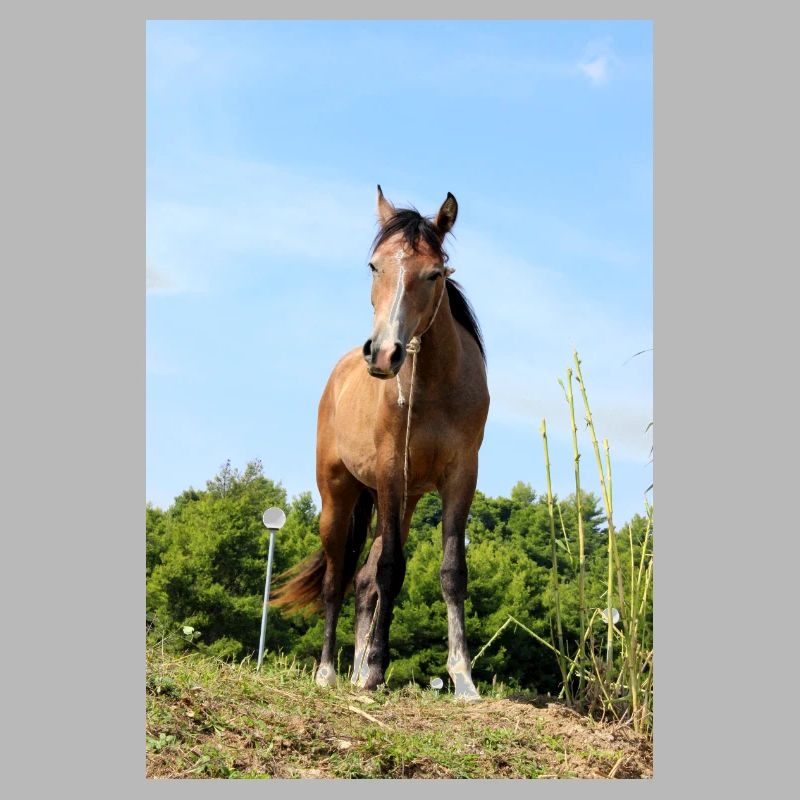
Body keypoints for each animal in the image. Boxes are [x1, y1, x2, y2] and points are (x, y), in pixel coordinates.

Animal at [271, 186, 489, 700]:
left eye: (434, 273)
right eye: (374, 266)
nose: (384, 353)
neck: (433, 386)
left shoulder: (460, 477)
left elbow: (451, 572)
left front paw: (463, 677)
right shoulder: (392, 473)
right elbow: (391, 570)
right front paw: (373, 671)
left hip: (402, 502)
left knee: (363, 580)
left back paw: (352, 669)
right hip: (339, 497)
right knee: (337, 581)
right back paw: (330, 672)